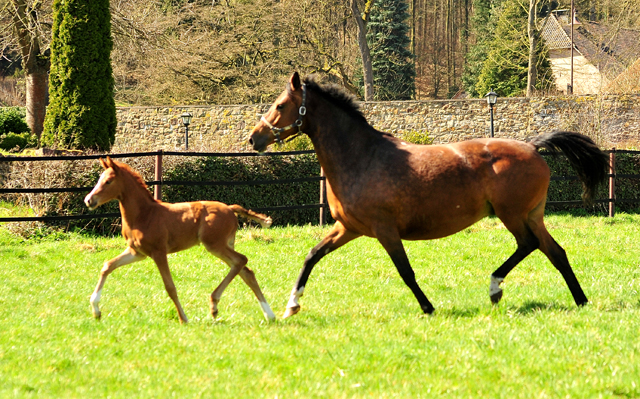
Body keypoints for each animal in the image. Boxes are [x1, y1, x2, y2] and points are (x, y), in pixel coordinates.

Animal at [85, 158, 276, 324]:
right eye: (99, 179)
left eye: (108, 181)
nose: (89, 200)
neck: (144, 214)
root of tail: (230, 208)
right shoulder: (136, 252)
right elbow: (107, 266)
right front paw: (96, 310)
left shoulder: (158, 252)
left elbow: (170, 287)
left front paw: (183, 318)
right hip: (224, 245)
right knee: (245, 271)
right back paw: (269, 315)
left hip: (215, 245)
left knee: (241, 260)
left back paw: (214, 304)